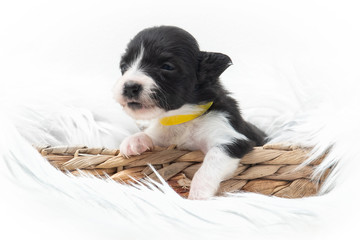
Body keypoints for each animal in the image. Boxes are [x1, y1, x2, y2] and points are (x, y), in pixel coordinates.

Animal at [114, 25, 266, 200]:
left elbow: (212, 159)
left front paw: (198, 193)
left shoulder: (231, 138)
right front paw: (134, 141)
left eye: (167, 67)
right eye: (124, 66)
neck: (181, 116)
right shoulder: (164, 136)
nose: (129, 86)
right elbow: (151, 135)